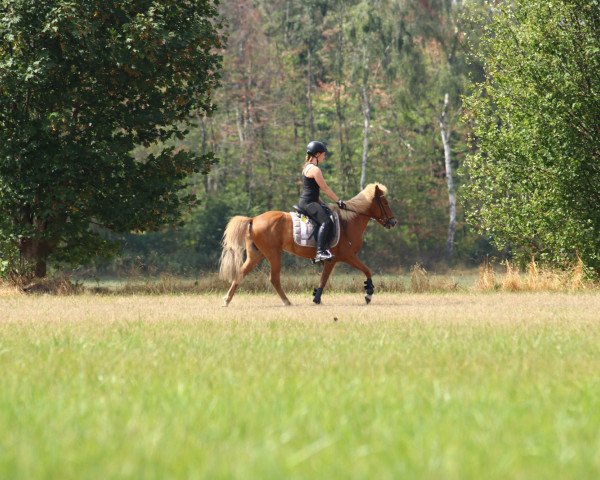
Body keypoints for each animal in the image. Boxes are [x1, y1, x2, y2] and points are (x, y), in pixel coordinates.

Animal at [218, 182, 396, 306]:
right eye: (386, 203)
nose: (393, 222)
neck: (348, 222)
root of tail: (253, 219)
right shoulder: (347, 256)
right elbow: (366, 270)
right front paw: (368, 293)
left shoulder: (332, 260)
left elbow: (323, 279)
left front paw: (317, 297)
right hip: (273, 254)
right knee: (274, 278)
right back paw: (287, 301)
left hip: (256, 254)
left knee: (241, 273)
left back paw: (226, 300)